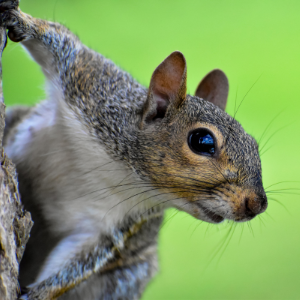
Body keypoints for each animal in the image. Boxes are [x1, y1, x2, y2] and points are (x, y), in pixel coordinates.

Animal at [0, 1, 268, 298]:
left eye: (254, 145)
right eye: (203, 141)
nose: (258, 204)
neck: (122, 170)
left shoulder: (112, 226)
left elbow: (80, 261)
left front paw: (37, 293)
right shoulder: (90, 83)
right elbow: (61, 42)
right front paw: (20, 20)